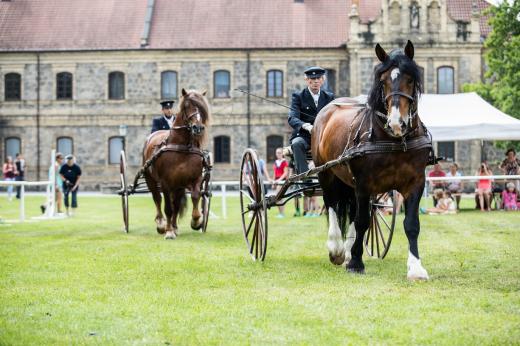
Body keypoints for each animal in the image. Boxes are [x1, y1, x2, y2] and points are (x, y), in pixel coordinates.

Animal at [143, 89, 210, 239]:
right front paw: (168, 231)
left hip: (178, 186)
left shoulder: (195, 179)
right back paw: (162, 224)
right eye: (186, 105)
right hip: (151, 179)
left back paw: (174, 226)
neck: (181, 147)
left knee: (176, 204)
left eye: (202, 107)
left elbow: (195, 196)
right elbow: (167, 207)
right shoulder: (165, 183)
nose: (198, 127)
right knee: (157, 198)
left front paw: (196, 221)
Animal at [314, 40, 432, 280]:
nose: (397, 123)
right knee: (332, 205)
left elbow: (411, 224)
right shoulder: (364, 184)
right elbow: (362, 221)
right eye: (383, 81)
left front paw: (416, 268)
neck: (394, 141)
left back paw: (347, 251)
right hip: (326, 173)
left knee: (349, 210)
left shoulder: (415, 182)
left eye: (411, 79)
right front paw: (356, 262)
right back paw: (337, 249)